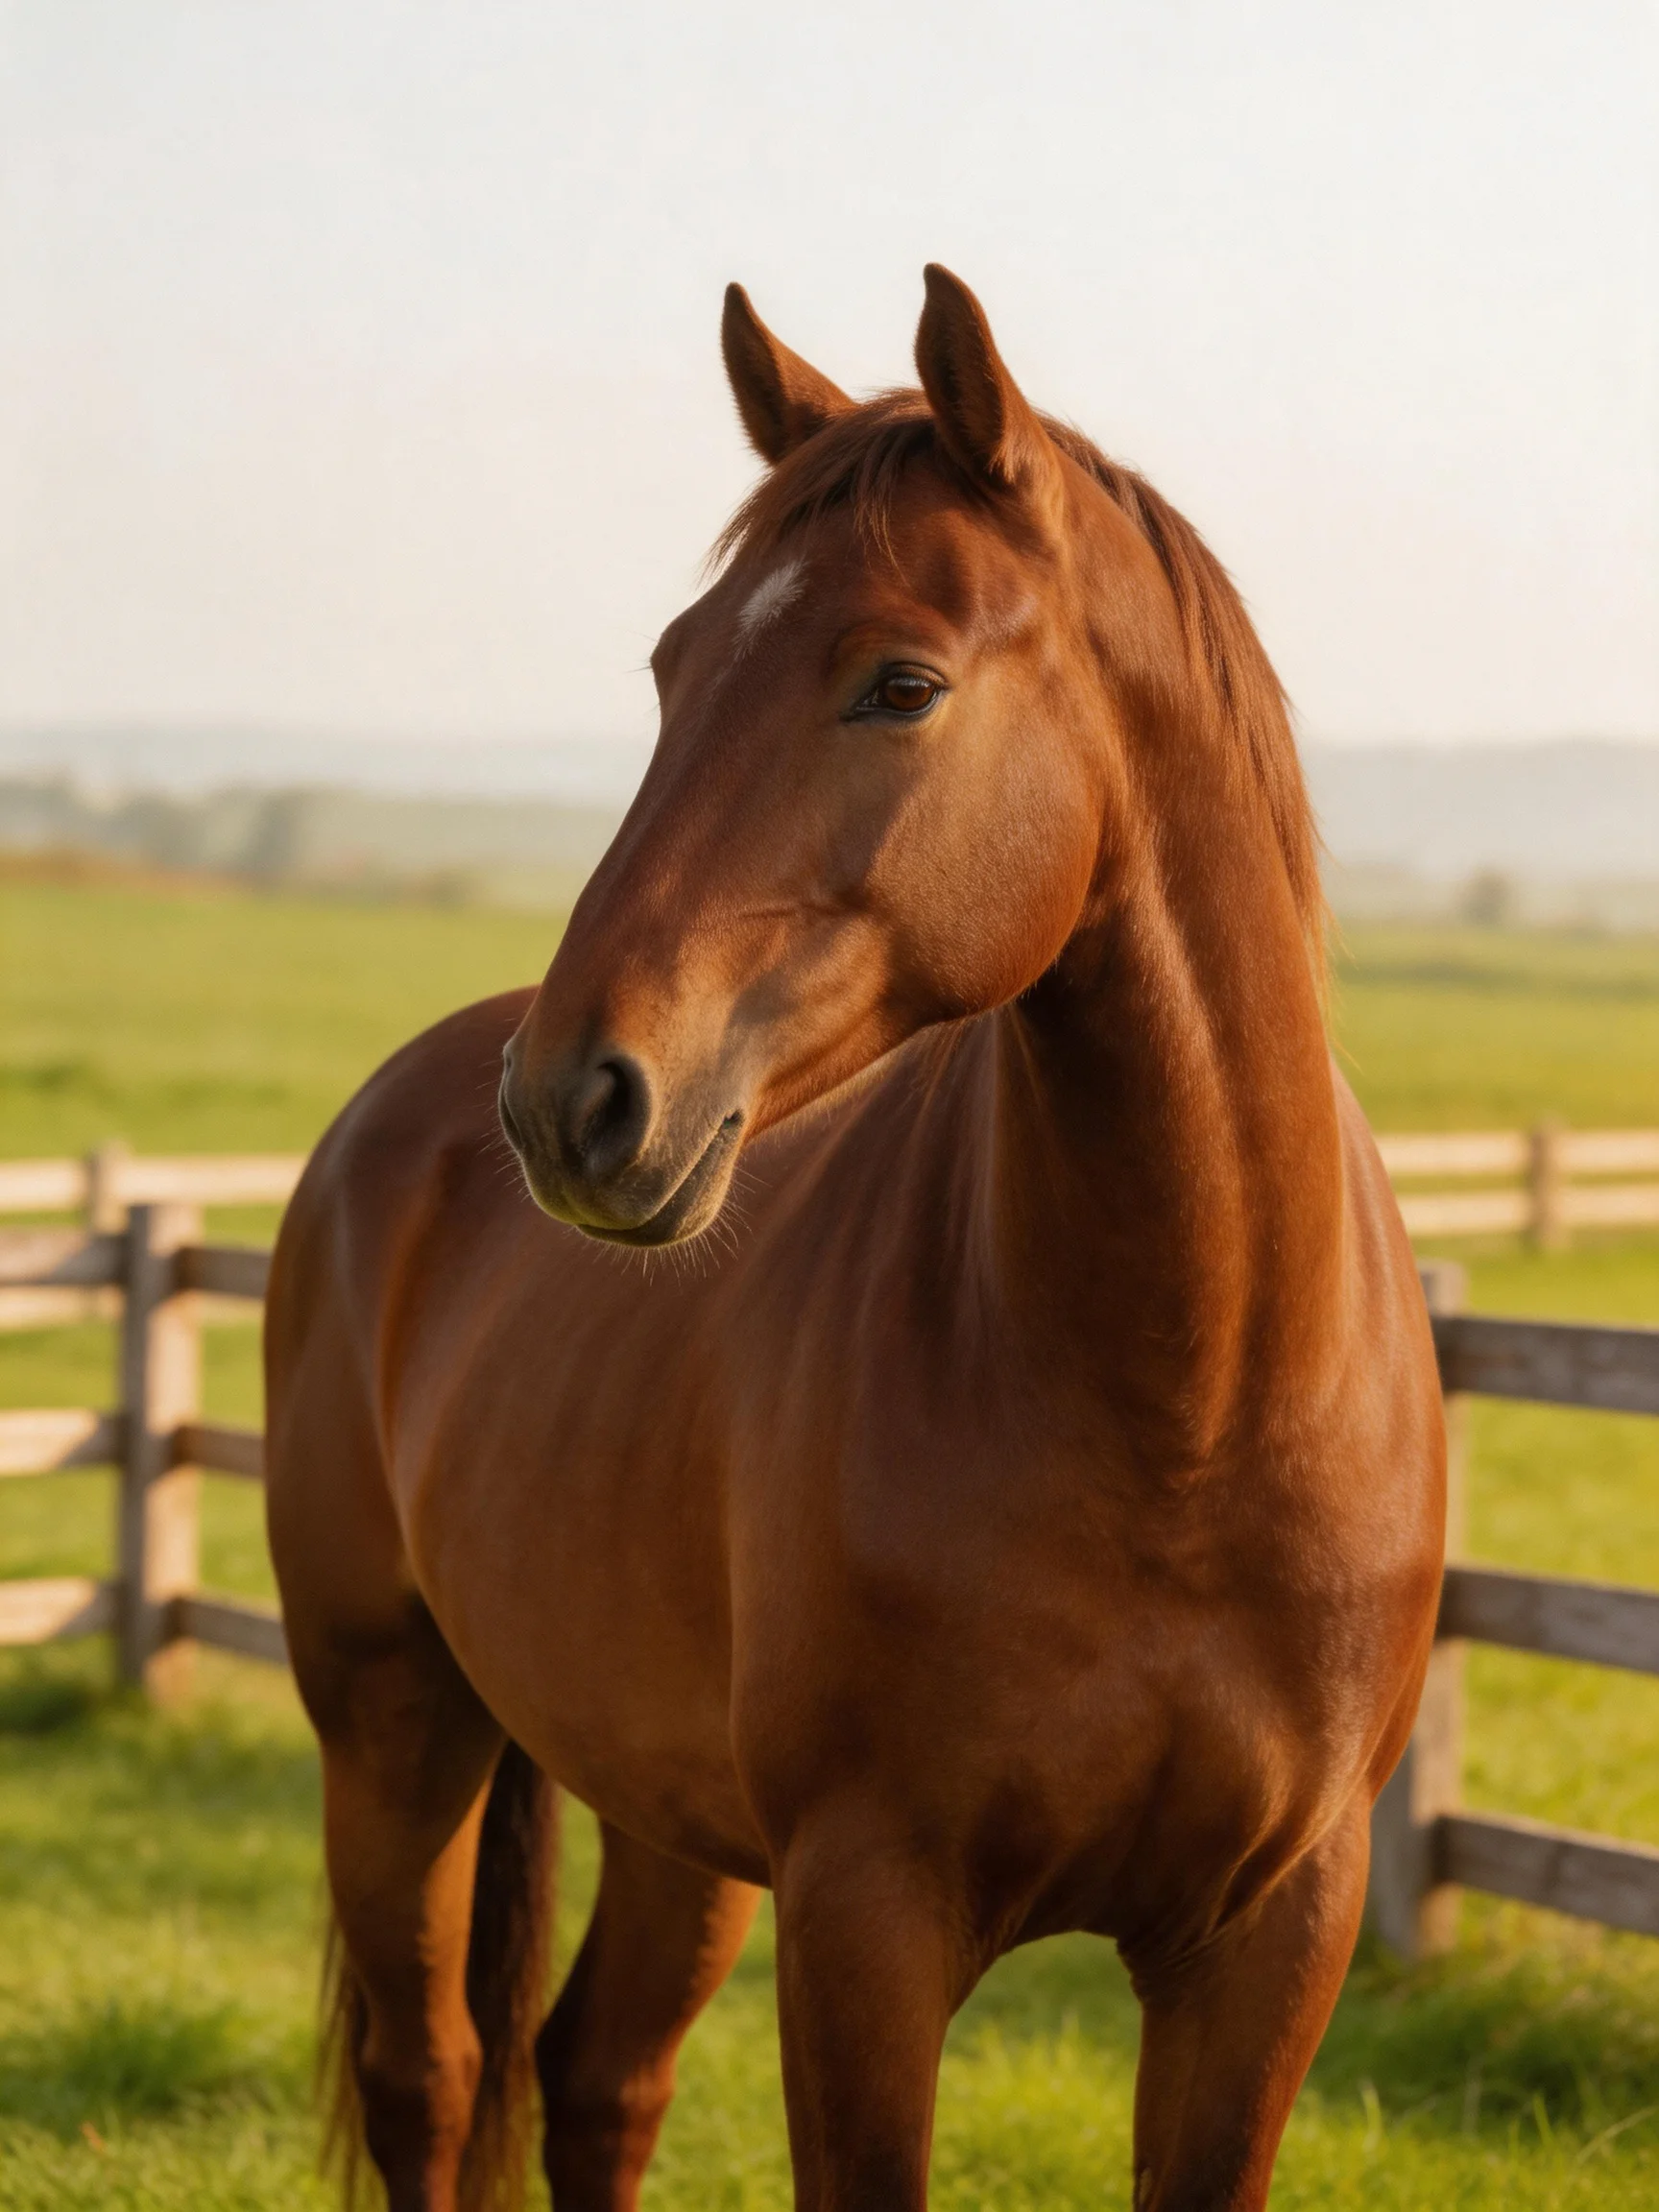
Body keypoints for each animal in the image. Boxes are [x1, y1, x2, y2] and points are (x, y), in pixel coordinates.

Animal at [265, 265, 1445, 2212]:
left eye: (900, 684)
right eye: (672, 667)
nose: (572, 1102)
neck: (1194, 1405)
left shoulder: (1270, 1937)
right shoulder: (867, 1920)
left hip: (668, 1812)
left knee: (597, 2075)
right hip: (392, 1725)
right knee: (432, 2071)